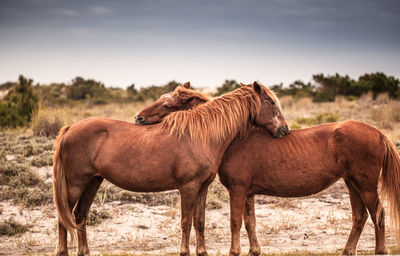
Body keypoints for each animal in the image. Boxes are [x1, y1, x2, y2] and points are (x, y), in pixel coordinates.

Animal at [54, 81, 290, 254]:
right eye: (271, 102)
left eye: (167, 104)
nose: (284, 129)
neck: (201, 135)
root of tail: (69, 128)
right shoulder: (188, 187)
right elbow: (186, 222)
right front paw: (184, 252)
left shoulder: (202, 187)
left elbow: (199, 221)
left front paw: (202, 252)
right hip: (75, 185)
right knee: (63, 217)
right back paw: (62, 251)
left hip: (92, 182)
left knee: (80, 215)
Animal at [136, 83, 400, 255]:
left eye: (167, 104)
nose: (138, 118)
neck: (234, 138)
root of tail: (377, 132)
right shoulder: (249, 193)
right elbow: (250, 222)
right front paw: (254, 250)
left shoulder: (238, 190)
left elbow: (235, 221)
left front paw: (235, 251)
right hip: (352, 184)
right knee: (360, 217)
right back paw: (347, 251)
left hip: (365, 185)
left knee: (378, 215)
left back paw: (380, 251)